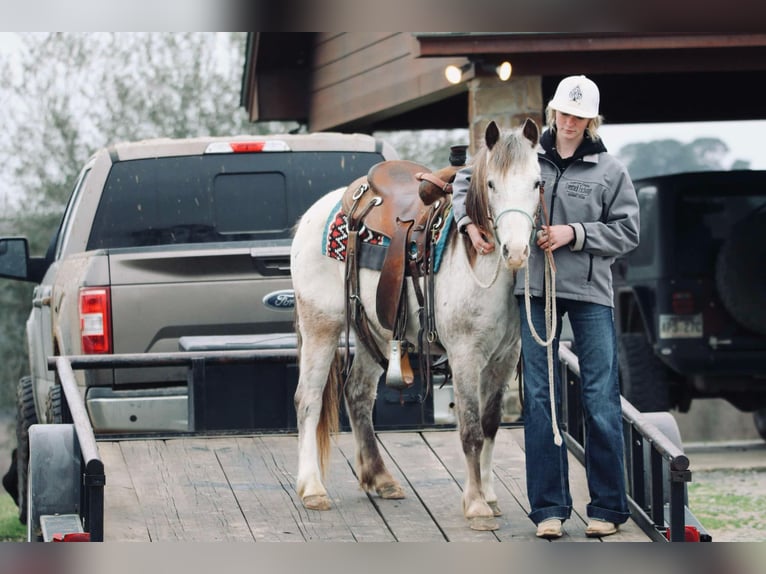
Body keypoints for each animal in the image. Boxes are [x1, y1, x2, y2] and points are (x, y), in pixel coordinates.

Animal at [292, 119, 544, 532]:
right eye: (491, 184)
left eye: (537, 182)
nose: (516, 251)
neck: (478, 263)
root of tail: (314, 213)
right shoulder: (465, 356)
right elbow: (471, 429)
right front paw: (476, 505)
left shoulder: (505, 358)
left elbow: (491, 424)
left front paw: (490, 497)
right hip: (320, 326)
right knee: (308, 399)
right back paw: (312, 489)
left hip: (373, 329)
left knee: (357, 394)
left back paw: (380, 478)